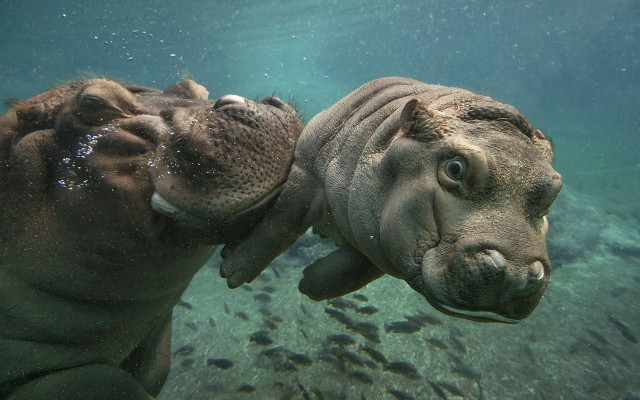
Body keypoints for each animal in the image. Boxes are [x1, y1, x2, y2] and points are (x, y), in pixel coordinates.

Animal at [0, 79, 302, 399]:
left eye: (195, 88)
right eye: (94, 103)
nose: (262, 104)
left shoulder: (156, 327)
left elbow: (156, 370)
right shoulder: (53, 374)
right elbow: (113, 381)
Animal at [221, 77, 562, 324]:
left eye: (553, 190)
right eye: (455, 168)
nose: (517, 272)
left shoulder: (378, 240)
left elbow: (351, 272)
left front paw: (308, 284)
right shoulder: (307, 171)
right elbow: (279, 225)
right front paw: (231, 269)